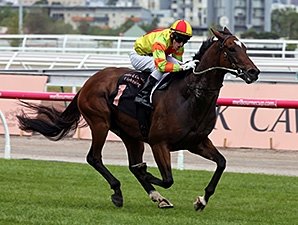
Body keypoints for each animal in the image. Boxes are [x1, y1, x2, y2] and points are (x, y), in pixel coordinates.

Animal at [16, 27, 258, 212]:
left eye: (245, 47)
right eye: (231, 48)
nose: (253, 72)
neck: (189, 96)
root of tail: (89, 81)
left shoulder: (197, 142)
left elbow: (221, 163)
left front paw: (201, 200)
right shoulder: (159, 143)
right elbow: (167, 179)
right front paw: (148, 173)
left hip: (131, 135)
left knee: (130, 163)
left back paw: (157, 197)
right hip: (100, 122)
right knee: (94, 158)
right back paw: (119, 192)